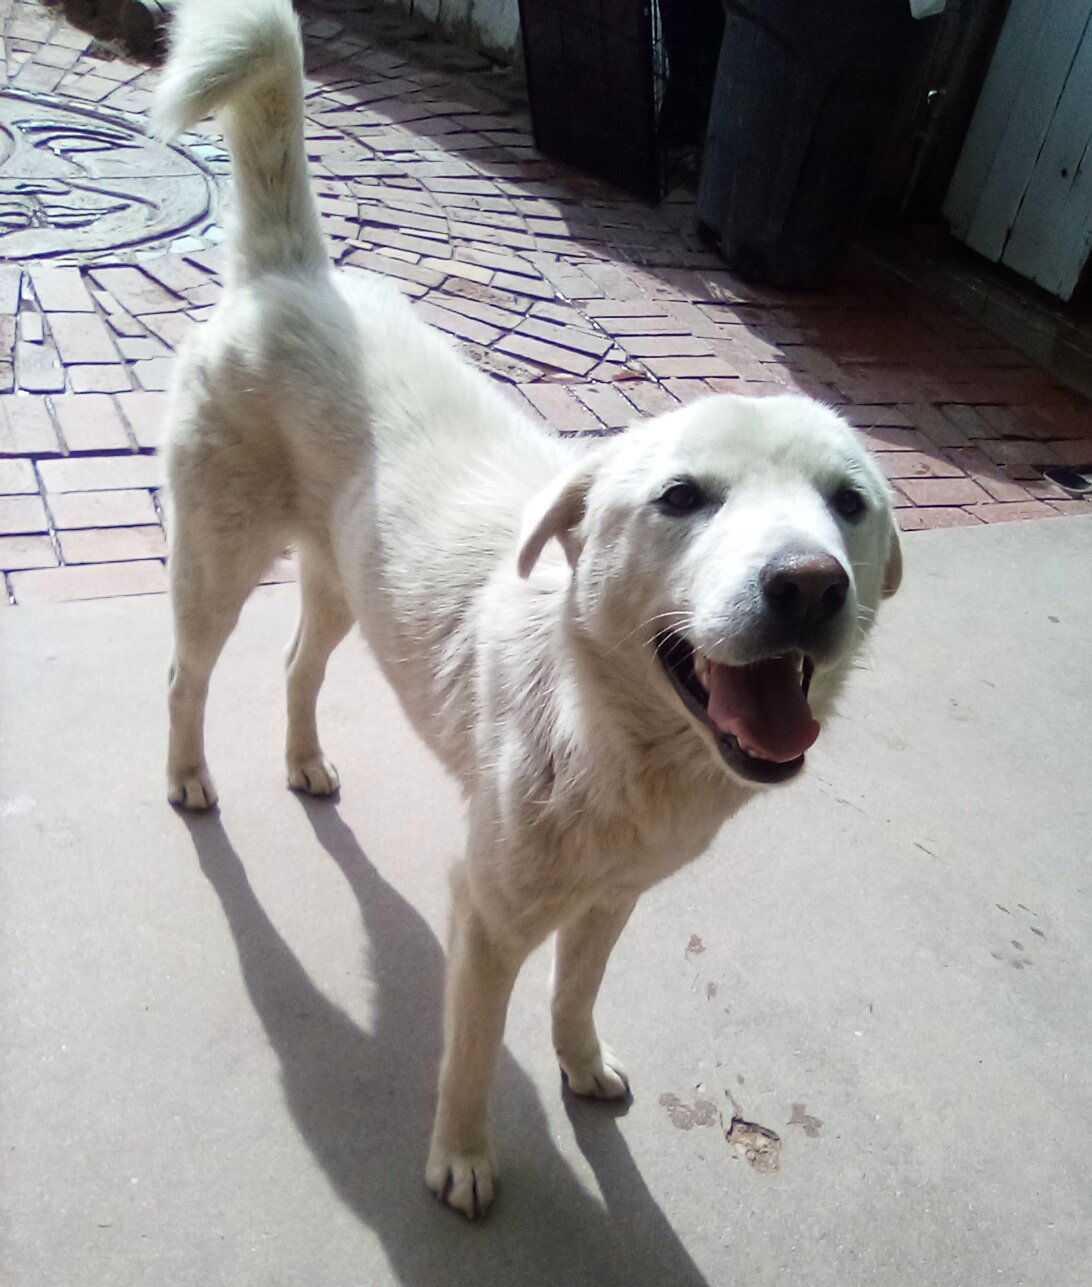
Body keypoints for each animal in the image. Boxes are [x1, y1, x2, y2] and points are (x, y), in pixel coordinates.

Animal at [155, 0, 906, 1214]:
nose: (808, 582)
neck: (613, 730)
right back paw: (187, 777)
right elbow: (470, 1053)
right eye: (683, 498)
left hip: (343, 583)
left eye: (849, 504)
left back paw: (306, 762)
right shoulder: (489, 915)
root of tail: (293, 274)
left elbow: (576, 994)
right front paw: (462, 1160)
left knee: (297, 666)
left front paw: (580, 1065)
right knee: (189, 673)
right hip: (216, 563)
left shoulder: (614, 900)